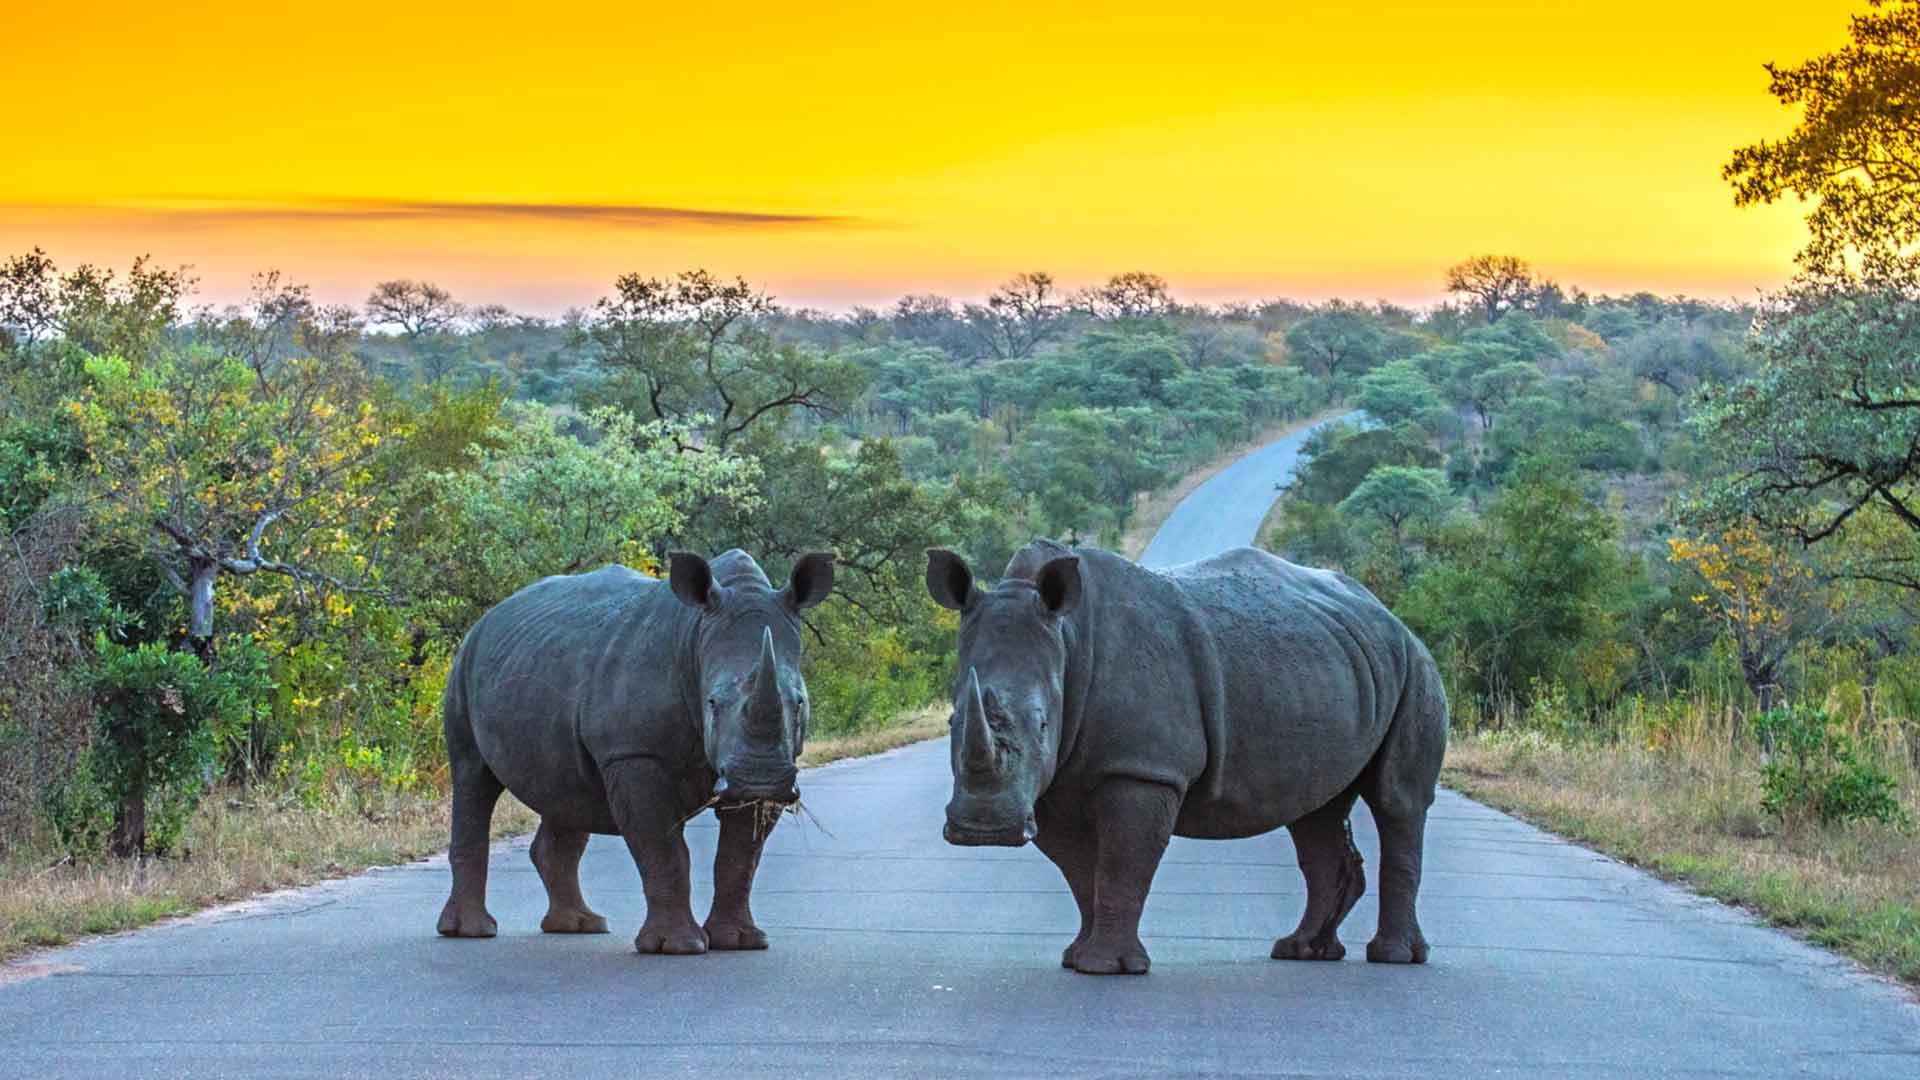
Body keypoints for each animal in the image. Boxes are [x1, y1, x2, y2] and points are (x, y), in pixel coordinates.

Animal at [437, 549, 834, 954]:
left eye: (799, 703)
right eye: (712, 703)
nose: (760, 779)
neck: (695, 636)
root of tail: (489, 617)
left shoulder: (760, 768)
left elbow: (740, 857)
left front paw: (739, 942)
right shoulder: (632, 753)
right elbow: (664, 848)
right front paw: (678, 947)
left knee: (565, 791)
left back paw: (580, 925)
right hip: (464, 667)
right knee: (472, 776)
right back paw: (472, 931)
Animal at [925, 540, 1446, 975]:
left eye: (1041, 725)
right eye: (951, 721)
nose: (984, 830)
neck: (1067, 641)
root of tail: (1388, 615)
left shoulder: (1144, 768)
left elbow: (1122, 861)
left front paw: (1107, 967)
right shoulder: (1051, 784)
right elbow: (1079, 870)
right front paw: (1077, 958)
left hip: (1415, 665)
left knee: (1397, 802)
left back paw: (1394, 958)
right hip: (1333, 667)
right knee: (1314, 812)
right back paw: (1302, 951)